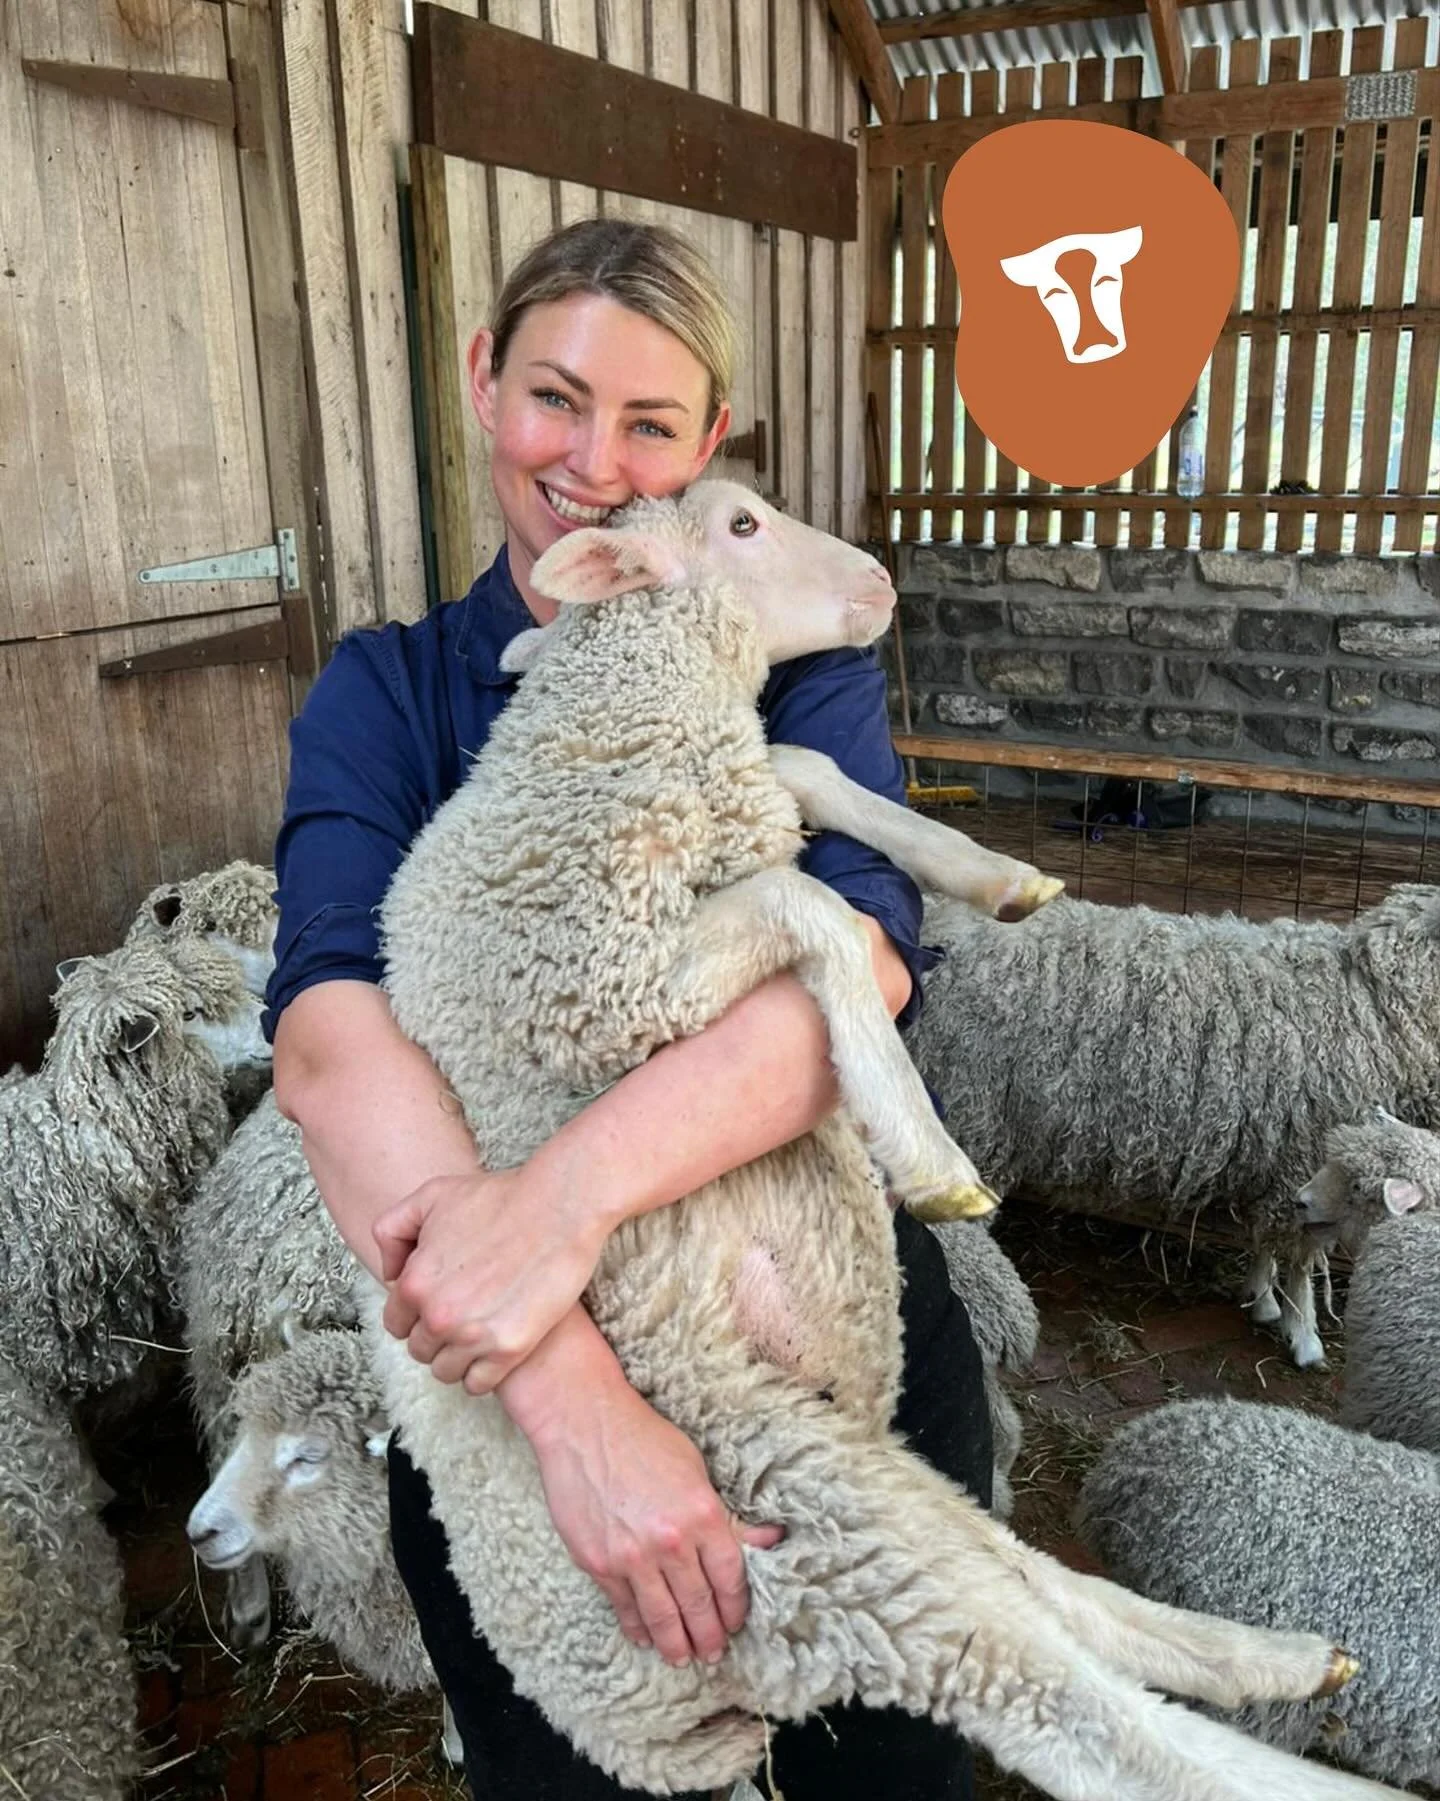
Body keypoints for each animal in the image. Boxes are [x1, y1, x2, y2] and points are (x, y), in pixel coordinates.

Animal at [904, 889, 1440, 1367]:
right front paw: (1304, 1336)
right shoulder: (1305, 1157)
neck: (1372, 1002)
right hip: (971, 1118)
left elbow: (1267, 1241)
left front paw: (1261, 1298)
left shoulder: (1282, 1162)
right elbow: (1301, 1260)